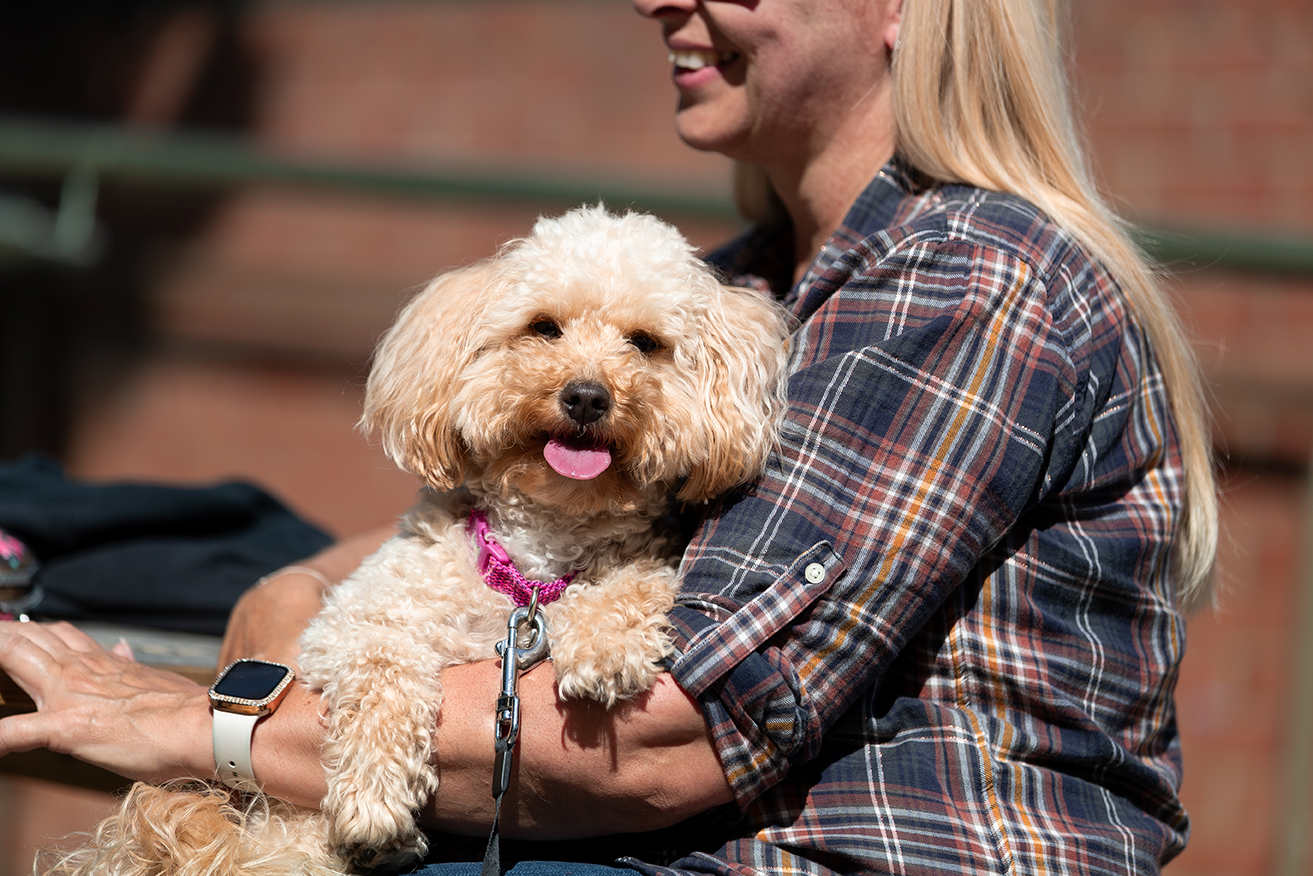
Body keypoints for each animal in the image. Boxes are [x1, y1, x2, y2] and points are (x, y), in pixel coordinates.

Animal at [43, 207, 787, 876]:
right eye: (543, 327)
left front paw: (604, 645)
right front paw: (374, 805)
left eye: (644, 342)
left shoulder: (639, 563)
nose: (586, 395)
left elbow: (637, 581)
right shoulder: (350, 626)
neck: (531, 562)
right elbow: (382, 673)